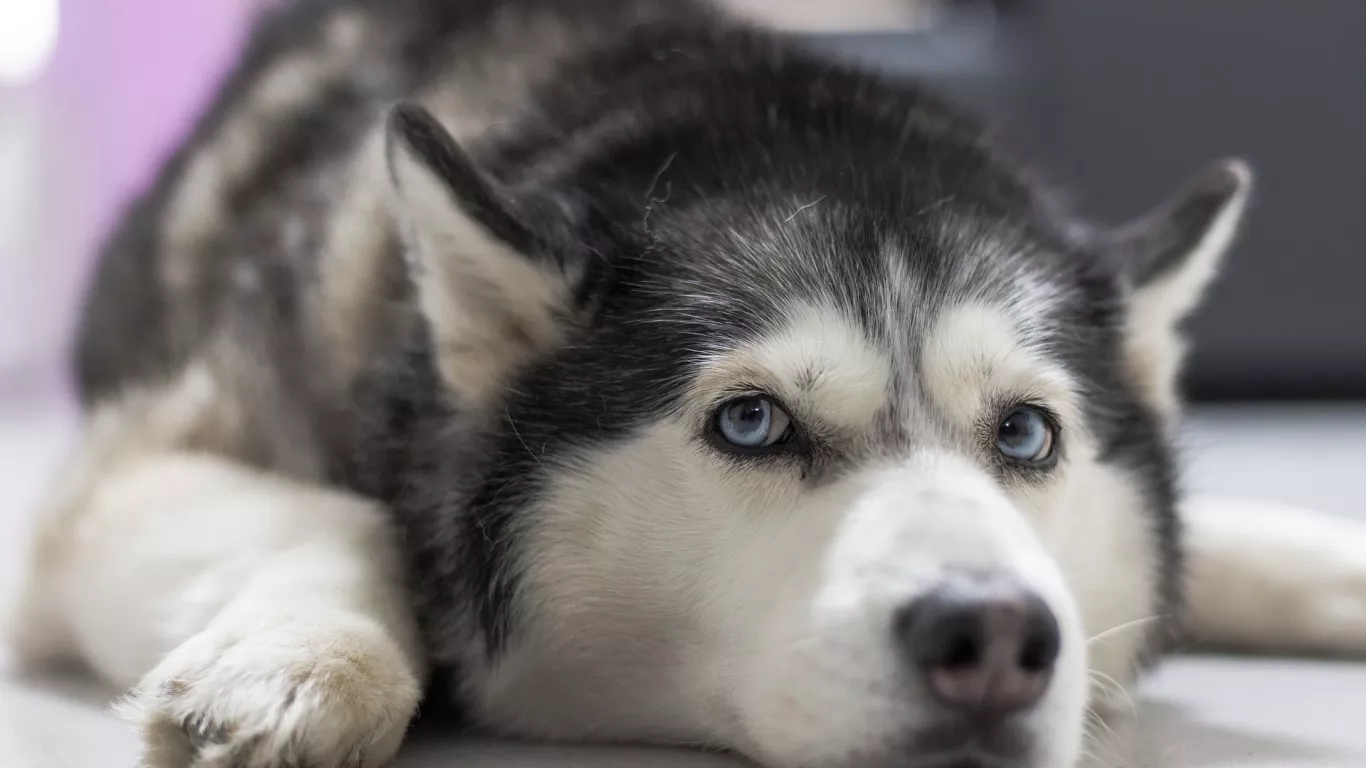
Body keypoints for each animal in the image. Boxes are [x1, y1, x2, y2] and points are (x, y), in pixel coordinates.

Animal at [10, 0, 1366, 759]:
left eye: (1026, 436)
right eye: (752, 421)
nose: (991, 635)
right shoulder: (116, 482)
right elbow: (350, 518)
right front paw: (298, 661)